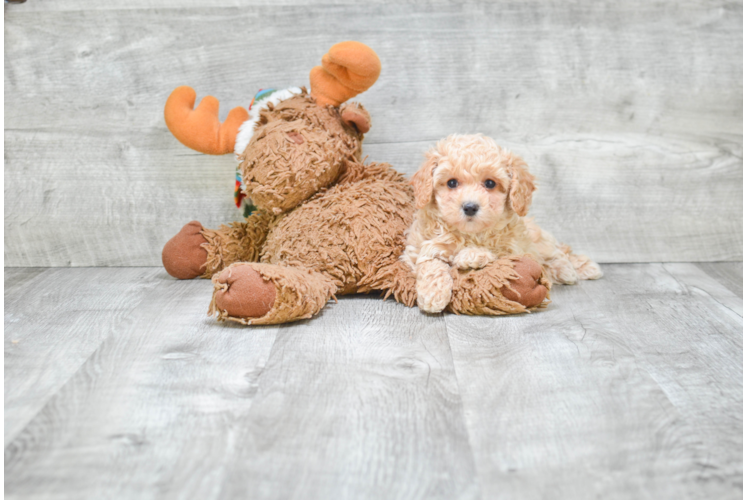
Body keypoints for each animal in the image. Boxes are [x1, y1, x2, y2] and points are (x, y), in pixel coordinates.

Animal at [404, 133, 600, 312]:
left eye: (490, 183)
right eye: (451, 183)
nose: (470, 207)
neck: (470, 233)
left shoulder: (515, 249)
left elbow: (497, 252)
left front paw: (471, 255)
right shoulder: (417, 248)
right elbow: (430, 261)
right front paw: (433, 295)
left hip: (540, 243)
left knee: (559, 253)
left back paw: (574, 268)